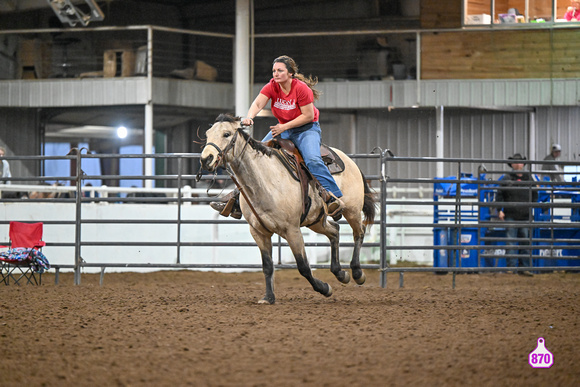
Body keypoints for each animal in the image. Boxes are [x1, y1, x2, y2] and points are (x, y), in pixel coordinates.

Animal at [199, 113, 376, 304]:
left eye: (226, 134)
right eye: (207, 134)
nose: (206, 159)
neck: (265, 181)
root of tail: (350, 161)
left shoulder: (292, 230)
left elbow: (303, 266)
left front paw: (324, 288)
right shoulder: (258, 232)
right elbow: (267, 266)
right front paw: (268, 297)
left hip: (352, 210)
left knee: (359, 232)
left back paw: (357, 273)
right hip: (315, 220)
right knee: (335, 231)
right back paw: (341, 273)